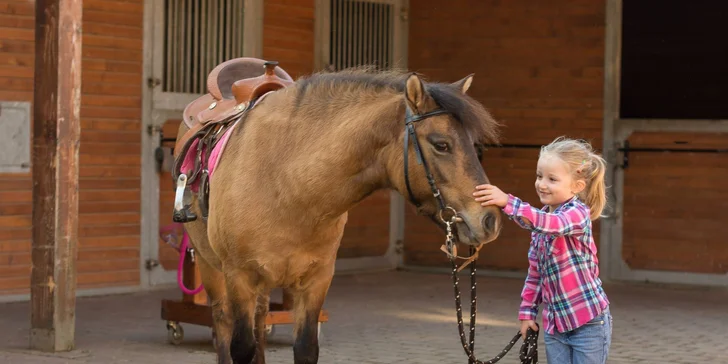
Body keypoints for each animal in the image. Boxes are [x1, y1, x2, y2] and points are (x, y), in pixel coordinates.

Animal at [171, 58, 504, 362]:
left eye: (473, 144)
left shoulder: (317, 280)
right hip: (211, 267)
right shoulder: (239, 277)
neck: (286, 184)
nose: (490, 220)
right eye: (441, 144)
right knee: (222, 325)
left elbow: (304, 348)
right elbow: (240, 347)